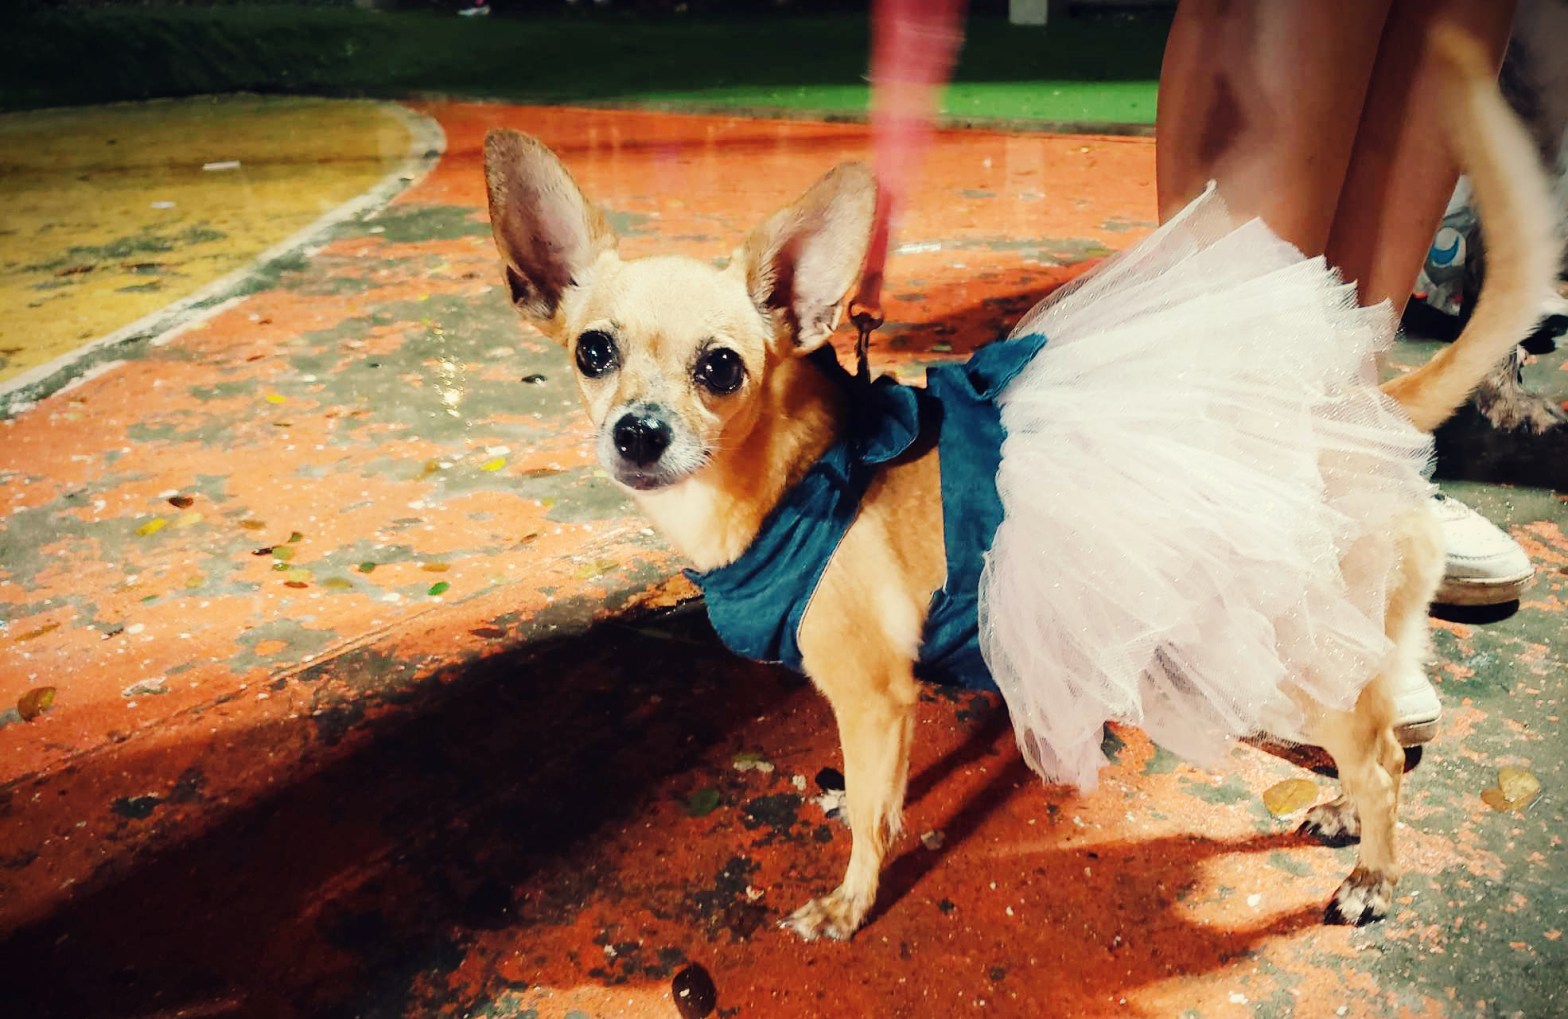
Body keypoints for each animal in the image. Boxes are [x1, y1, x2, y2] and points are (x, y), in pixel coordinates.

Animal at [482, 26, 1559, 942]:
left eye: (720, 369)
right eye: (592, 351)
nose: (637, 432)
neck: (800, 476)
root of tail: (1363, 401)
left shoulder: (873, 692)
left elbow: (871, 820)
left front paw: (847, 905)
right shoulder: (895, 698)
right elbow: (880, 790)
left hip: (1303, 642)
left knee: (1383, 761)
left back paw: (1374, 872)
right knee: (1369, 750)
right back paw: (1338, 808)